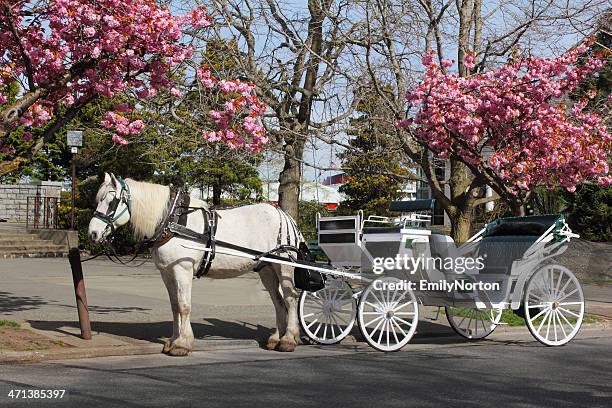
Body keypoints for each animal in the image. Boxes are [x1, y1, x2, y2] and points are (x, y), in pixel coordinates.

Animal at [88, 174, 304, 356]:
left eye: (111, 202)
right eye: (98, 200)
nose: (93, 233)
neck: (171, 220)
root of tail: (284, 215)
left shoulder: (182, 269)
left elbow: (184, 306)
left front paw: (182, 344)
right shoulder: (167, 273)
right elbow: (175, 306)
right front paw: (173, 340)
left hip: (284, 266)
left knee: (291, 298)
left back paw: (288, 339)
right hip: (267, 269)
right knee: (278, 301)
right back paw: (276, 338)